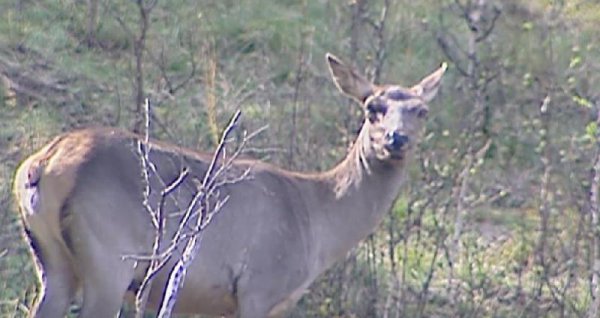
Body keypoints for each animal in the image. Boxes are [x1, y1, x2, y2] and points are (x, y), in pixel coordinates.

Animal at [12, 53, 446, 316]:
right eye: (373, 108)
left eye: (421, 111)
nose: (397, 139)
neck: (317, 223)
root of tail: (43, 164)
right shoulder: (260, 285)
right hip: (110, 254)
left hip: (52, 260)